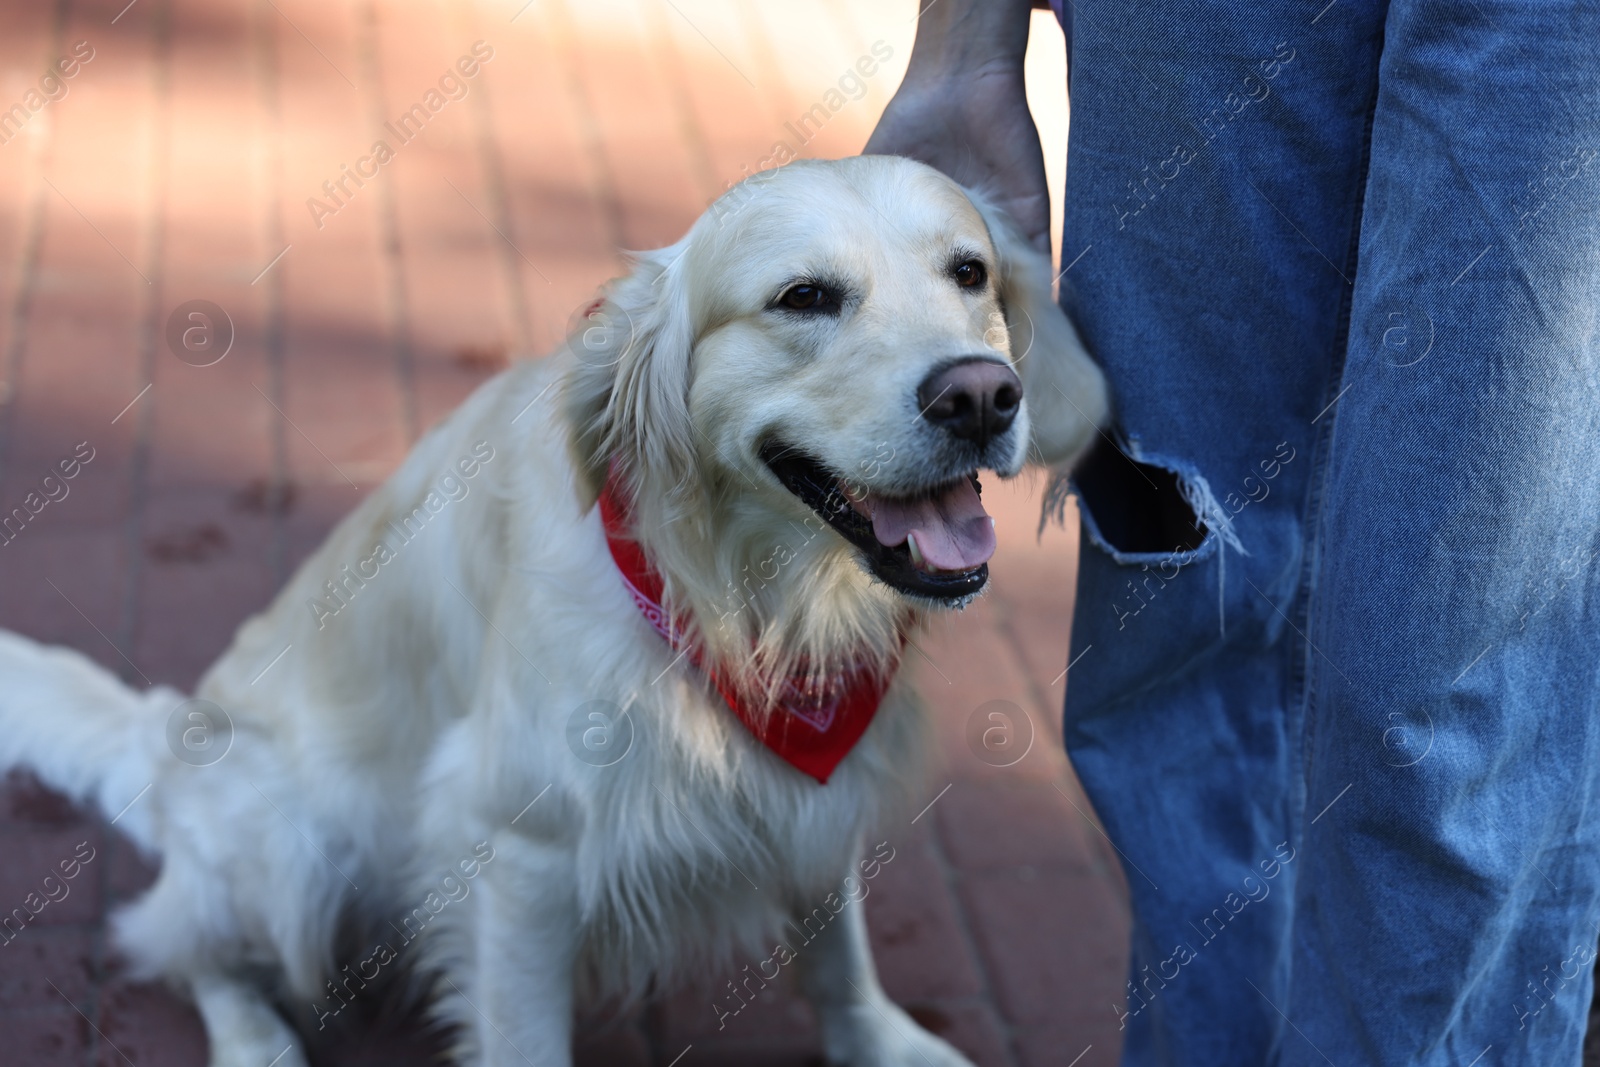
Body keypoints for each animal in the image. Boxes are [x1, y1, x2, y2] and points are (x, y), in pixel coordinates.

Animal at [0, 154, 1100, 1062]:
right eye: (804, 298)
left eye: (969, 273)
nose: (980, 396)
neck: (736, 597)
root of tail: (166, 742)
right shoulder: (521, 845)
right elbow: (524, 1030)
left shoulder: (809, 786)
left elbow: (837, 946)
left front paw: (877, 1039)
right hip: (291, 844)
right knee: (184, 946)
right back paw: (253, 1037)